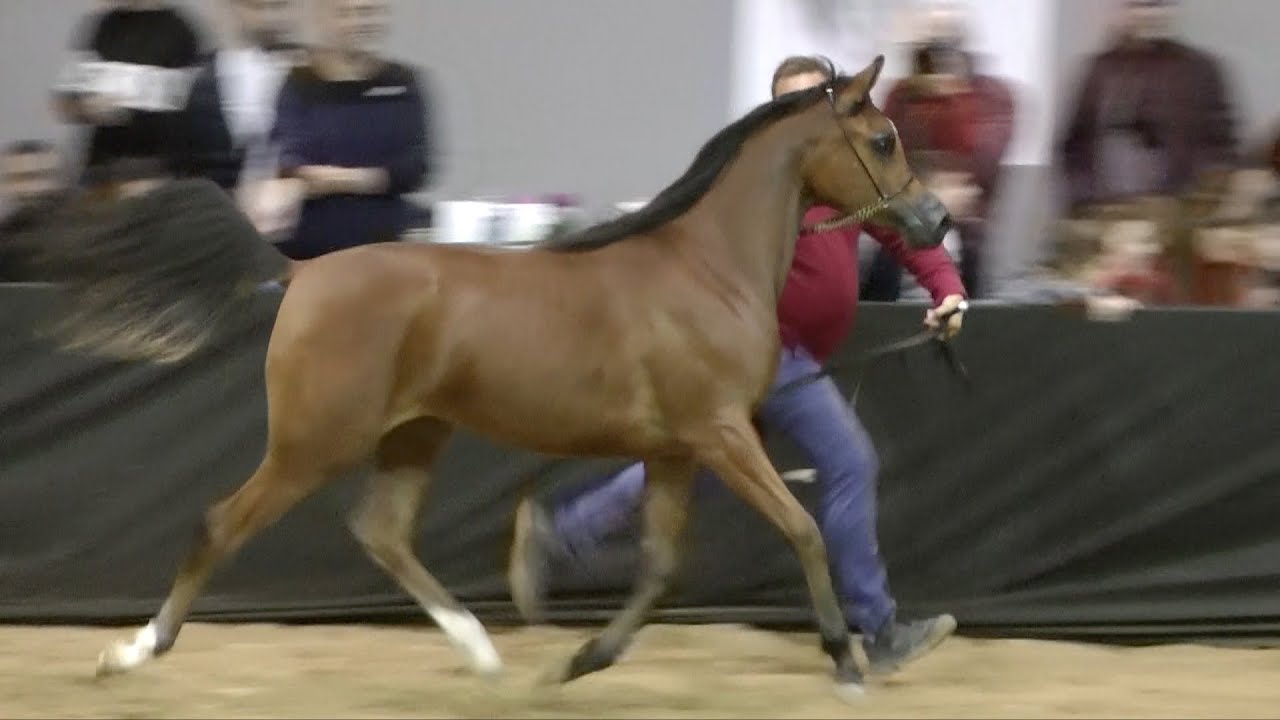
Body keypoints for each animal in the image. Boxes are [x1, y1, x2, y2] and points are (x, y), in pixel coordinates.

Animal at [20, 55, 951, 697]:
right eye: (881, 139)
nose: (935, 219)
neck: (705, 268)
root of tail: (301, 272)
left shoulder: (677, 450)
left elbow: (660, 567)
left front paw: (579, 660)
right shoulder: (720, 434)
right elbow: (804, 530)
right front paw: (845, 662)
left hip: (414, 434)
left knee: (382, 532)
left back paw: (485, 652)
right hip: (315, 443)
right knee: (221, 524)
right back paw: (130, 652)